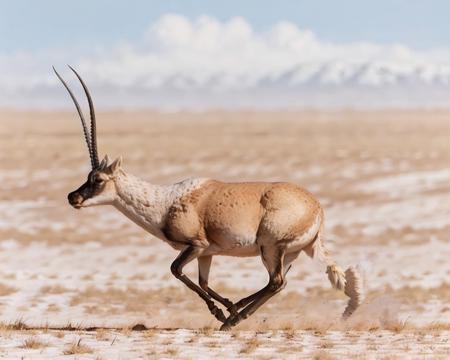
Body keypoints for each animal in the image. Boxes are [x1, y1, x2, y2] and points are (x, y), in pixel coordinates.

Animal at [53, 66, 362, 330]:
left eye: (98, 179)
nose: (73, 197)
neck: (164, 202)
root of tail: (317, 209)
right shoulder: (208, 252)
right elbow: (203, 281)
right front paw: (226, 306)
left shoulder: (195, 245)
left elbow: (176, 271)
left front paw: (221, 312)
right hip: (287, 253)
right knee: (279, 283)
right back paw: (237, 311)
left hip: (270, 247)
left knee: (275, 282)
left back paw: (233, 319)